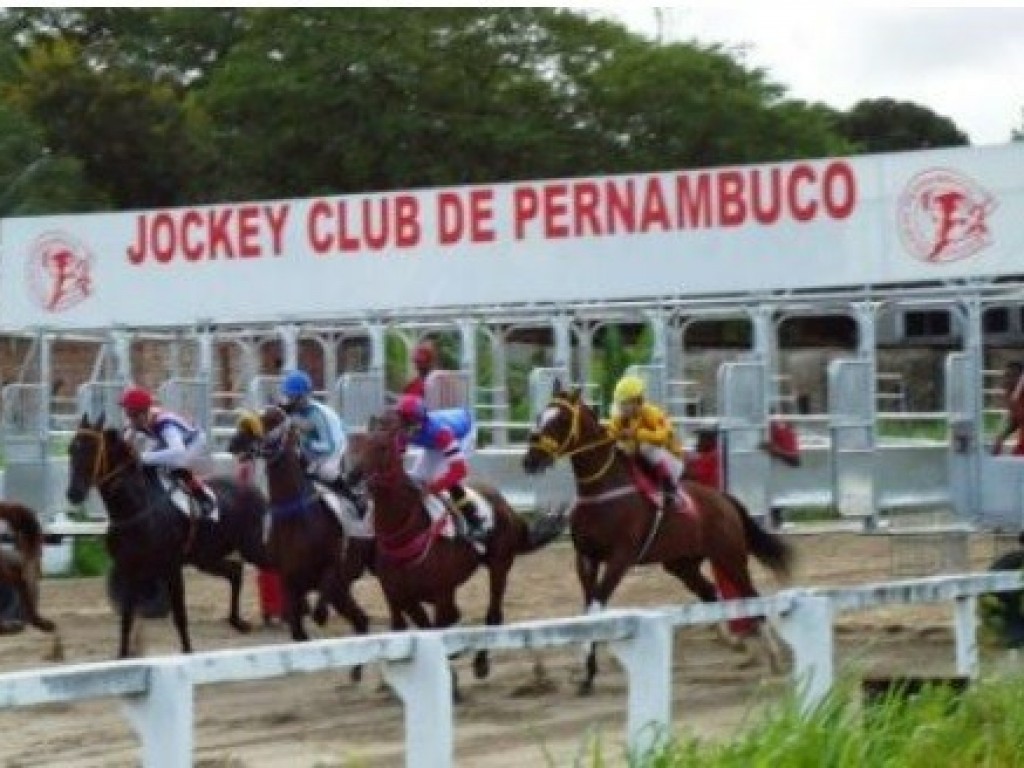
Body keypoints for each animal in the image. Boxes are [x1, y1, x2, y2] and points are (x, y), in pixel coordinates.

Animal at [65, 411, 274, 659]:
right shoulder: (129, 568)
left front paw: (188, 652)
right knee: (236, 572)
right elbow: (127, 619)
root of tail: (253, 488)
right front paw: (122, 656)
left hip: (253, 547)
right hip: (205, 558)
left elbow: (180, 616)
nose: (73, 493)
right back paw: (237, 621)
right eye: (71, 449)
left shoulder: (171, 567)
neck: (136, 507)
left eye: (91, 449)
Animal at [227, 409, 372, 651]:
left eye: (270, 422)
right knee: (361, 620)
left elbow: (323, 595)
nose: (234, 442)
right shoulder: (290, 581)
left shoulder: (332, 566)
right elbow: (297, 630)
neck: (298, 518)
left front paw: (320, 614)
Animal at [356, 417, 569, 696]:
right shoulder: (399, 594)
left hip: (500, 564)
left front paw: (452, 675)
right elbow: (422, 625)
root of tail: (504, 503)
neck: (405, 534)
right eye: (356, 444)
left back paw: (481, 663)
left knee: (493, 615)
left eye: (381, 447)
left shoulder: (440, 591)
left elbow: (438, 624)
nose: (352, 477)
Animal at [524, 382, 794, 696]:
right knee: (711, 593)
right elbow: (587, 612)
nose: (530, 460)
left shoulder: (620, 558)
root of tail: (724, 500)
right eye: (539, 415)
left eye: (561, 420)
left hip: (730, 556)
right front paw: (587, 676)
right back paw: (735, 642)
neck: (603, 490)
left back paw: (772, 657)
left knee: (751, 596)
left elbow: (595, 608)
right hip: (682, 564)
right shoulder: (586, 558)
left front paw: (584, 670)